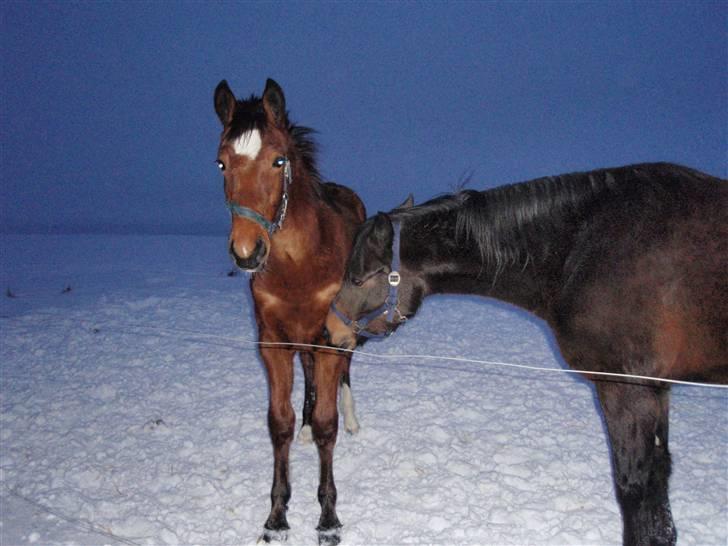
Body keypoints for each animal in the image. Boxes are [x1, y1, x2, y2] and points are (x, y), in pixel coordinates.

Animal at [215, 78, 364, 540]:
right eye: (221, 163)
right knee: (310, 378)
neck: (300, 262)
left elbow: (328, 425)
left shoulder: (330, 339)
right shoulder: (274, 343)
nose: (247, 252)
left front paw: (328, 518)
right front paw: (277, 516)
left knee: (344, 373)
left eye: (278, 160)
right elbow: (278, 422)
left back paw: (352, 418)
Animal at [326, 163, 728, 544]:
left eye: (359, 279)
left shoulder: (628, 389)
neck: (586, 248)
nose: (330, 330)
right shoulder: (658, 389)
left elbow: (634, 489)